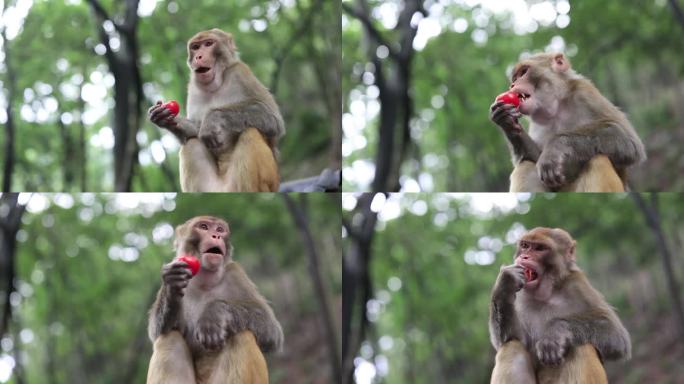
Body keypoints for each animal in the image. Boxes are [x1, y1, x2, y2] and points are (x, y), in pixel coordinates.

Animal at [146, 216, 282, 384]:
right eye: (204, 227)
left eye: (220, 230)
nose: (216, 236)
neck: (206, 282)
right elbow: (157, 330)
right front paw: (172, 286)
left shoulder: (235, 273)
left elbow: (271, 330)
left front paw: (214, 313)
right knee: (168, 338)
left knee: (242, 335)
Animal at [148, 28, 284, 192]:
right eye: (195, 47)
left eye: (208, 44)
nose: (199, 56)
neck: (216, 85)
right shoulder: (193, 89)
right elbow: (194, 131)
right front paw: (165, 118)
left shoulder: (241, 72)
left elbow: (273, 119)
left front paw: (213, 118)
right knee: (191, 143)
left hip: (264, 181)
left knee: (251, 132)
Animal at [486, 226, 632, 382]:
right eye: (525, 246)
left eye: (540, 248)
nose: (525, 257)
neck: (546, 293)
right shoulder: (520, 295)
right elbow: (512, 338)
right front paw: (505, 284)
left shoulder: (578, 284)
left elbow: (616, 335)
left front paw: (555, 333)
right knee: (511, 347)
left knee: (581, 346)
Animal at [488, 53, 644, 191]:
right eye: (514, 78)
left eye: (523, 72)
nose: (513, 85)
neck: (556, 108)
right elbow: (535, 158)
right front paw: (506, 121)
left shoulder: (585, 92)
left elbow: (629, 142)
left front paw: (555, 147)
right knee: (525, 166)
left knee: (598, 160)